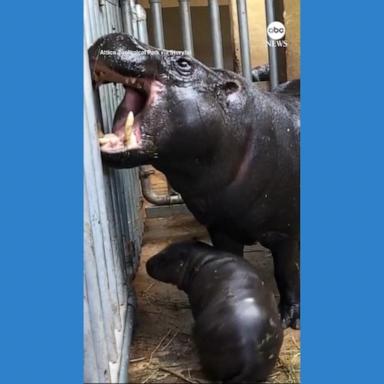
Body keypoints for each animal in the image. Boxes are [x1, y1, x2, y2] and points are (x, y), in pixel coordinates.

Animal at [88, 33, 302, 328]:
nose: (117, 36)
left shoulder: (285, 232)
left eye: (184, 63)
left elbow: (287, 271)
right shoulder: (222, 227)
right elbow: (231, 259)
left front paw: (289, 319)